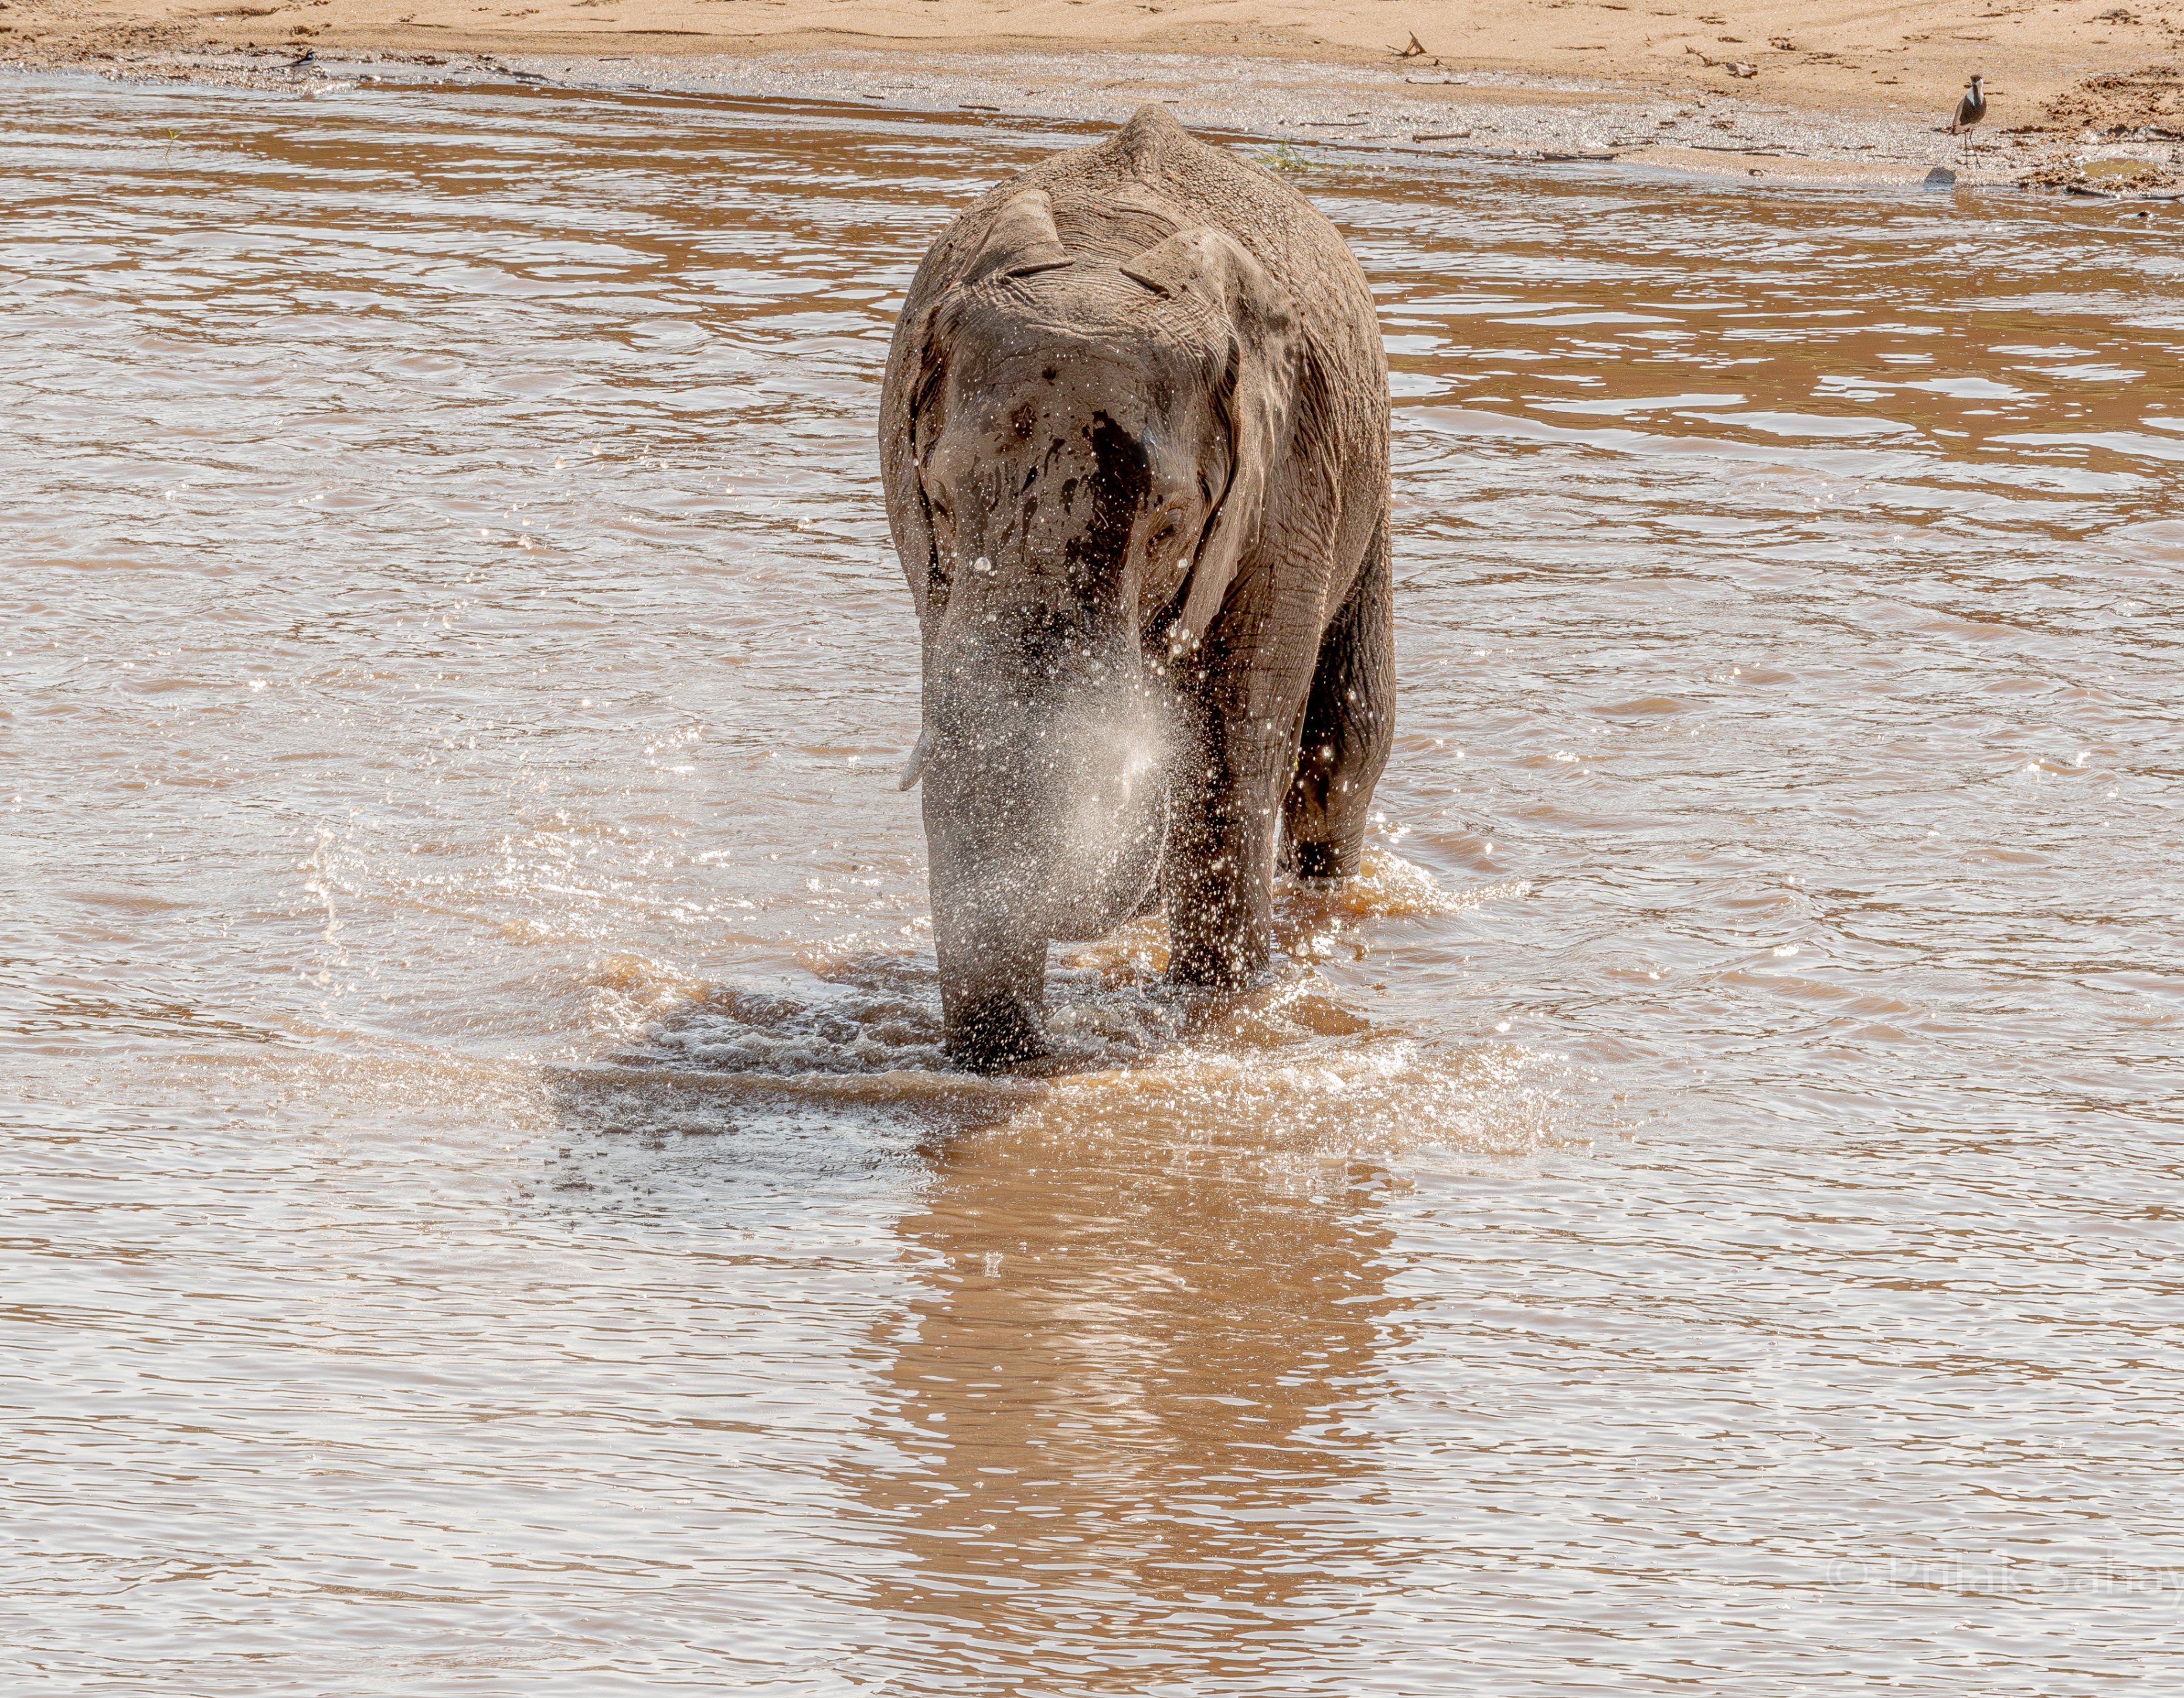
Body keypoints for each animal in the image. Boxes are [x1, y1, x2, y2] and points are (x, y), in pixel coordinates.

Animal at [879, 104, 1394, 1069]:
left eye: (1169, 523)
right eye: (940, 497)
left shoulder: (1286, 492)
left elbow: (1227, 767)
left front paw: (1219, 1012)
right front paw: (1003, 1068)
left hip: (1366, 484)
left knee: (1340, 752)